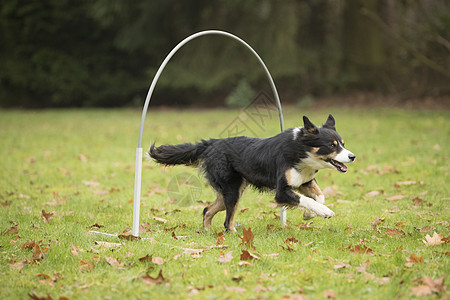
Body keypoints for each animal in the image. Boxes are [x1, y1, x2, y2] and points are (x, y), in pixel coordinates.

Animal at [148, 114, 356, 232]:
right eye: (332, 145)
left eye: (343, 143)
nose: (352, 156)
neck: (300, 150)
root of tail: (212, 143)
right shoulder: (282, 191)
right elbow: (307, 199)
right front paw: (324, 211)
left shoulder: (304, 181)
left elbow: (320, 196)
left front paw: (308, 215)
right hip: (232, 191)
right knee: (227, 222)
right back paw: (234, 236)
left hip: (230, 192)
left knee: (208, 210)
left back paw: (208, 233)